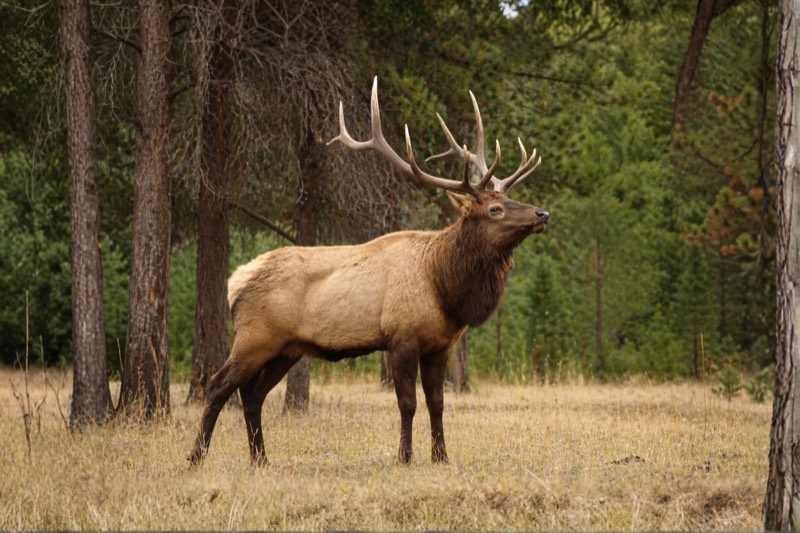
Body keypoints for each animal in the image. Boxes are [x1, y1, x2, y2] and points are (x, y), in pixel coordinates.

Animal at [188, 77, 549, 467]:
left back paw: (260, 459)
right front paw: (405, 457)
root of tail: (235, 282)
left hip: (287, 348)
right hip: (255, 336)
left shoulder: (439, 345)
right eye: (496, 209)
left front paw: (441, 456)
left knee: (253, 394)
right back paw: (196, 457)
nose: (542, 213)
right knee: (219, 386)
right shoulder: (401, 338)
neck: (444, 288)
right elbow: (408, 404)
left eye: (510, 199)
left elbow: (437, 403)